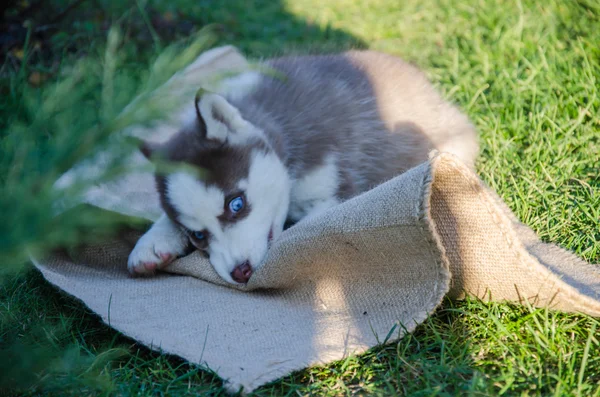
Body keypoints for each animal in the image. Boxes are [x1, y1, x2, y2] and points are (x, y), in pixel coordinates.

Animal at [126, 50, 478, 284]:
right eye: (197, 235)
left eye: (236, 204)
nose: (241, 273)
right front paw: (152, 243)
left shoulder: (335, 190)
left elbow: (299, 230)